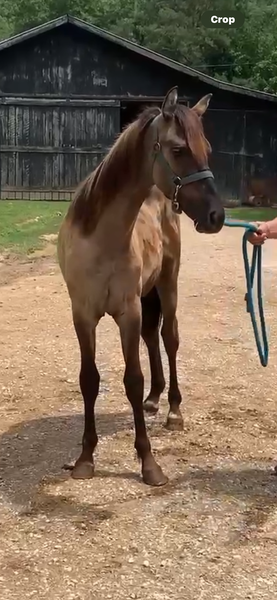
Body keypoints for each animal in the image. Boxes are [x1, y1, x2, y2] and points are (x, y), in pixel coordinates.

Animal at [57, 85, 223, 488]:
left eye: (207, 148)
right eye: (178, 150)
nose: (217, 216)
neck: (100, 239)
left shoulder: (126, 312)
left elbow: (132, 378)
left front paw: (149, 464)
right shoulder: (83, 315)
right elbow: (89, 379)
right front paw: (85, 459)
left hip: (167, 282)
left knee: (169, 338)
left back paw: (173, 410)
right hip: (149, 293)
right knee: (152, 336)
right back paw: (154, 398)